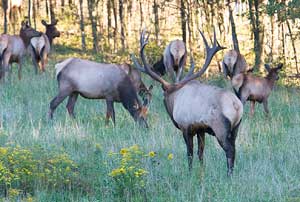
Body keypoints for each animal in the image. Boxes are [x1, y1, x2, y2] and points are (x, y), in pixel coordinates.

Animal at [133, 29, 244, 176]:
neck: (174, 97)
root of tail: (237, 106)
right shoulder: (201, 129)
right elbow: (200, 153)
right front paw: (201, 172)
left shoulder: (186, 126)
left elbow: (189, 153)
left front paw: (190, 173)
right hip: (236, 127)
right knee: (234, 149)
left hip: (221, 128)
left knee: (230, 150)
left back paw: (228, 176)